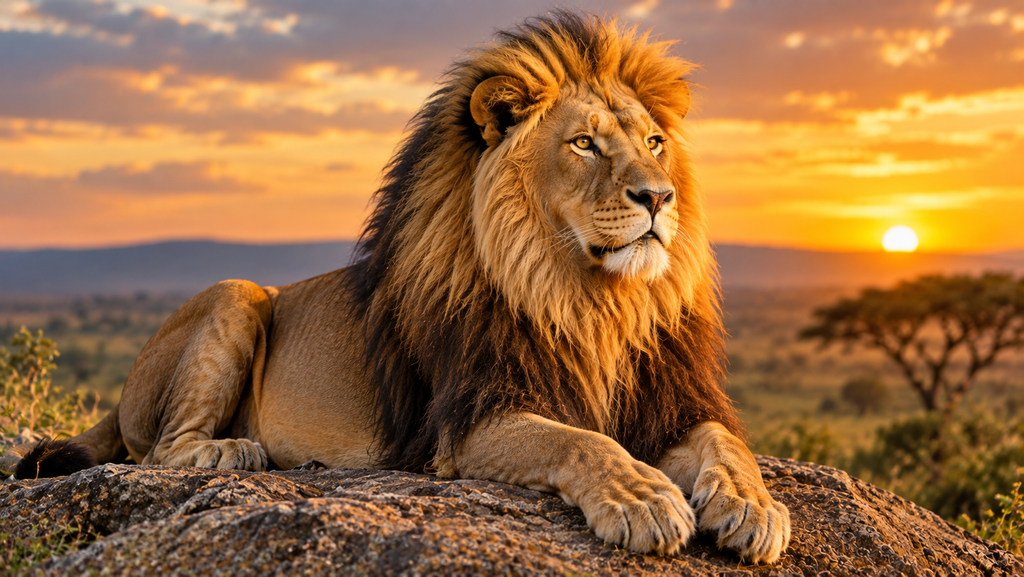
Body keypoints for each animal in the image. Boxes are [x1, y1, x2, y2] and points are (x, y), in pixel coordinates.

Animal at [7, 12, 790, 563]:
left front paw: (755, 508)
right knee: (159, 450)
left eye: (655, 143)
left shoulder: (670, 400)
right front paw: (644, 498)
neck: (588, 296)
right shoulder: (467, 420)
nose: (658, 197)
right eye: (584, 144)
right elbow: (580, 442)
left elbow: (727, 443)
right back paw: (233, 451)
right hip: (239, 292)